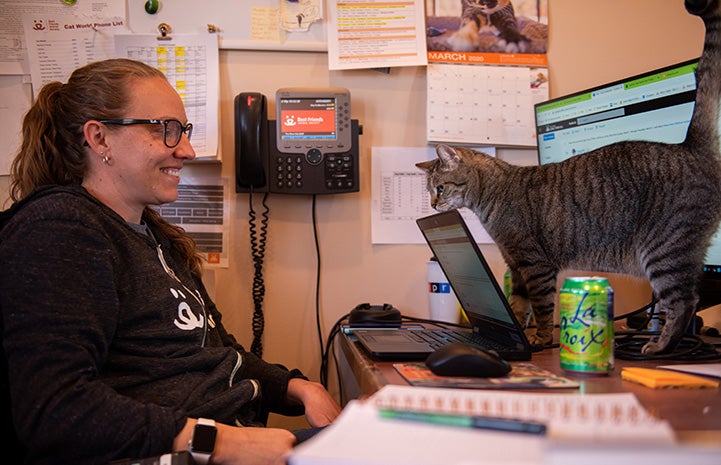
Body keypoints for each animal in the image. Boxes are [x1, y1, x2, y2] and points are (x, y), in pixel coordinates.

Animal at [416, 0, 720, 356]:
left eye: (439, 188)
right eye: (429, 191)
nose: (433, 205)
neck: (491, 196)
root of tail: (688, 146)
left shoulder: (534, 262)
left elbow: (542, 306)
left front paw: (539, 339)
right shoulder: (515, 265)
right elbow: (518, 305)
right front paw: (523, 332)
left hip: (664, 249)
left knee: (685, 301)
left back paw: (661, 346)